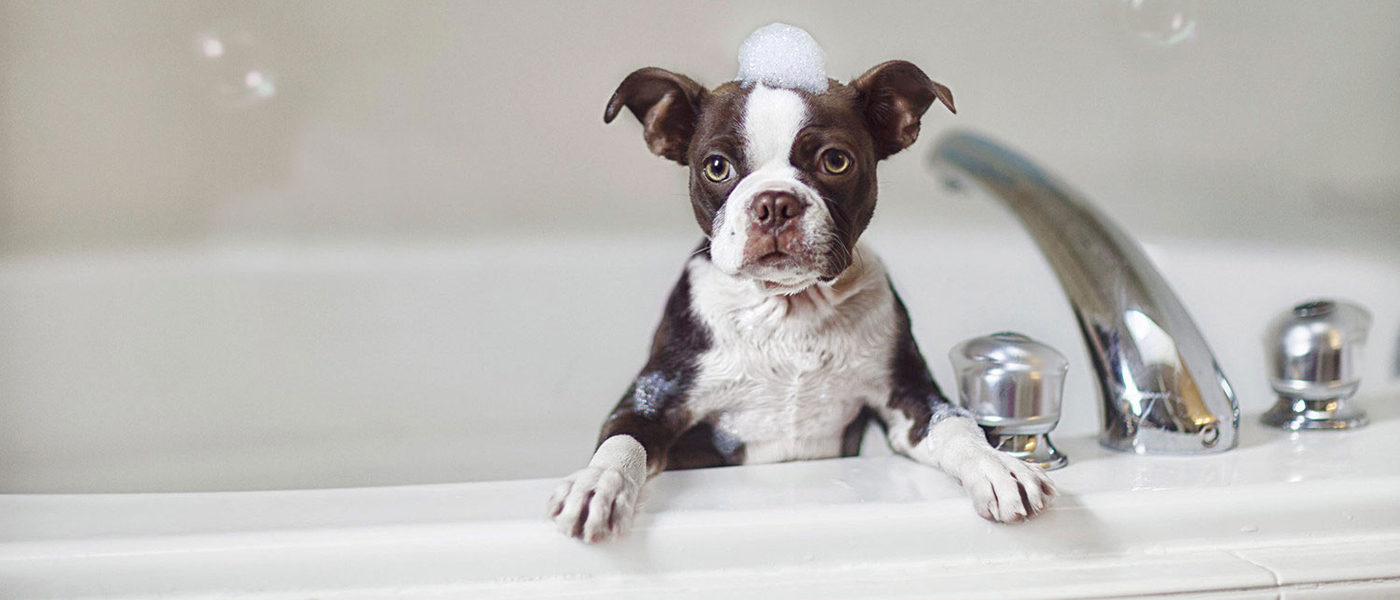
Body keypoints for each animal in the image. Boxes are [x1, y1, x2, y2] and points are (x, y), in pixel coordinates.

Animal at [543, 23, 1052, 539]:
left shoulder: (909, 400)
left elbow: (954, 424)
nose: (774, 203)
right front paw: (596, 484)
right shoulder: (654, 397)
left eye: (835, 161)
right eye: (716, 167)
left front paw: (994, 465)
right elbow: (622, 441)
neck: (789, 309)